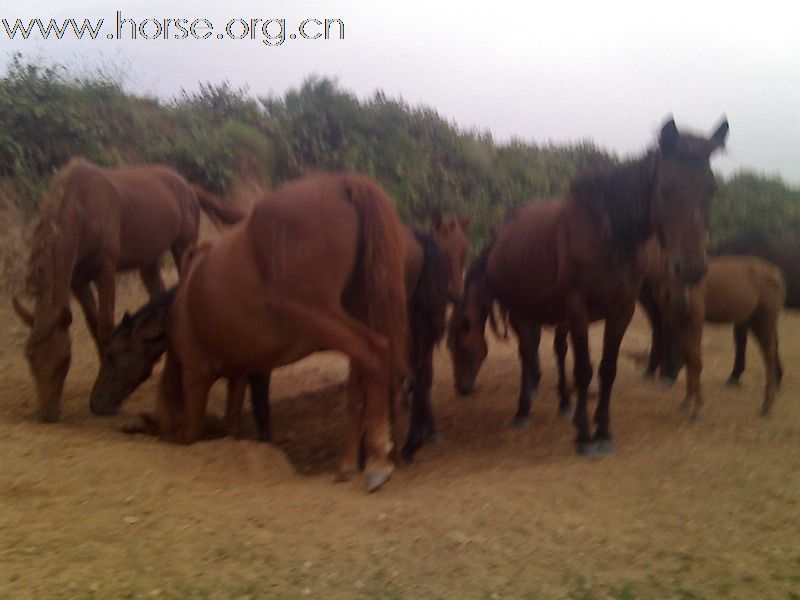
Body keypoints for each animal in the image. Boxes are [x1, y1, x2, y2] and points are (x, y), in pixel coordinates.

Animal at [10, 158, 244, 422]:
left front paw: (112, 402)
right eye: (29, 358)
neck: (81, 208)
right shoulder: (78, 280)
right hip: (149, 261)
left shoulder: (105, 270)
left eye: (65, 360)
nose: (47, 413)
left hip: (183, 245)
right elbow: (93, 324)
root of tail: (186, 185)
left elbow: (105, 326)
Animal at [446, 116, 728, 454]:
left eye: (712, 189)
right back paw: (524, 409)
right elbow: (582, 369)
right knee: (528, 353)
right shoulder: (575, 309)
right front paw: (583, 432)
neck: (608, 236)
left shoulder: (622, 310)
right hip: (523, 311)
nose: (691, 267)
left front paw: (602, 430)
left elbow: (607, 369)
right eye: (665, 189)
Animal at [640, 251, 784, 420]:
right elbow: (689, 358)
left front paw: (697, 410)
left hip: (764, 322)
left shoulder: (695, 321)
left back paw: (767, 407)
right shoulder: (680, 321)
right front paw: (687, 402)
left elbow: (695, 361)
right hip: (752, 322)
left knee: (769, 356)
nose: (665, 381)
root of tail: (776, 273)